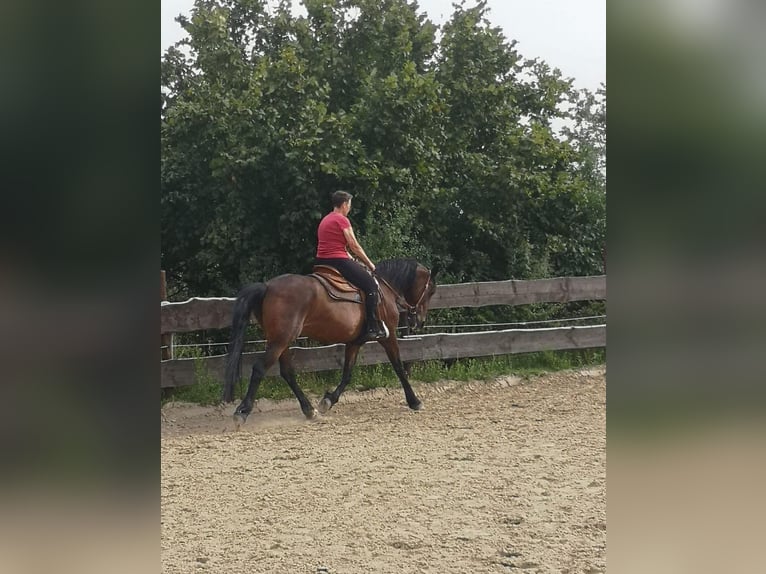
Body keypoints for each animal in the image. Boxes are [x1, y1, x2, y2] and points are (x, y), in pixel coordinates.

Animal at [222, 260, 438, 424]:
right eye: (431, 291)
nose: (420, 320)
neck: (384, 289)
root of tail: (268, 286)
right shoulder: (389, 336)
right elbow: (399, 368)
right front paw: (414, 401)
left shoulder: (354, 342)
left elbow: (347, 374)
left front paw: (328, 401)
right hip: (280, 340)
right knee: (260, 368)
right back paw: (242, 411)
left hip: (280, 341)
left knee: (287, 373)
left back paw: (309, 410)